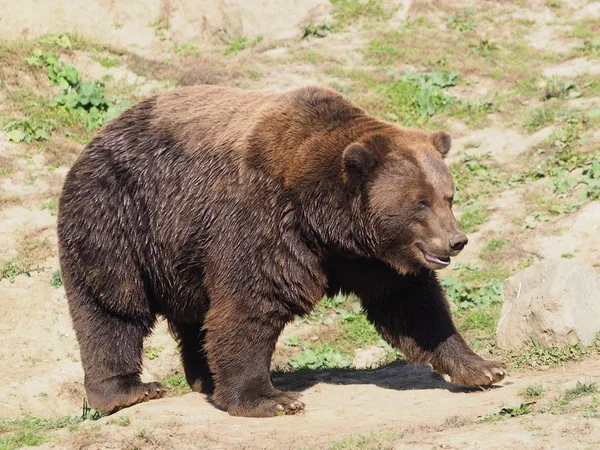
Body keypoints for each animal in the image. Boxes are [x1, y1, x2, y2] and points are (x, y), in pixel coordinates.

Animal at [57, 85, 506, 418]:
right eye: (420, 203)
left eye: (448, 195)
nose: (456, 240)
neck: (325, 222)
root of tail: (93, 140)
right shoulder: (261, 222)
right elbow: (251, 303)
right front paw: (270, 398)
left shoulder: (370, 259)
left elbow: (413, 305)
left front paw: (483, 367)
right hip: (118, 220)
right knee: (113, 308)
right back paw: (129, 390)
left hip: (180, 254)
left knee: (192, 317)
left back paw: (204, 378)